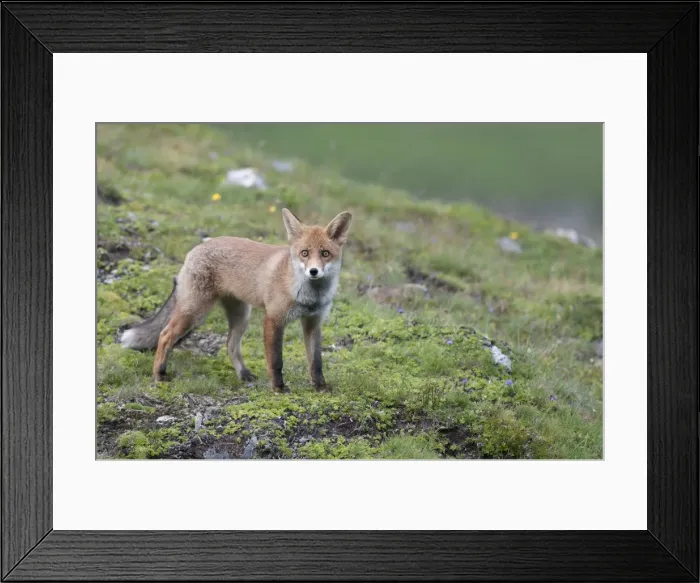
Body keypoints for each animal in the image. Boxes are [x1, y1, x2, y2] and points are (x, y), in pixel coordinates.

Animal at [119, 209, 352, 392]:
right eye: (304, 253)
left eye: (325, 253)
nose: (313, 271)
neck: (309, 296)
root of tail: (194, 250)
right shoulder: (273, 319)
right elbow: (276, 360)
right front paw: (278, 388)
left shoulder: (313, 322)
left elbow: (316, 361)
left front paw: (320, 386)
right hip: (195, 312)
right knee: (165, 335)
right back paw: (159, 374)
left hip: (241, 316)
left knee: (230, 344)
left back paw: (244, 375)